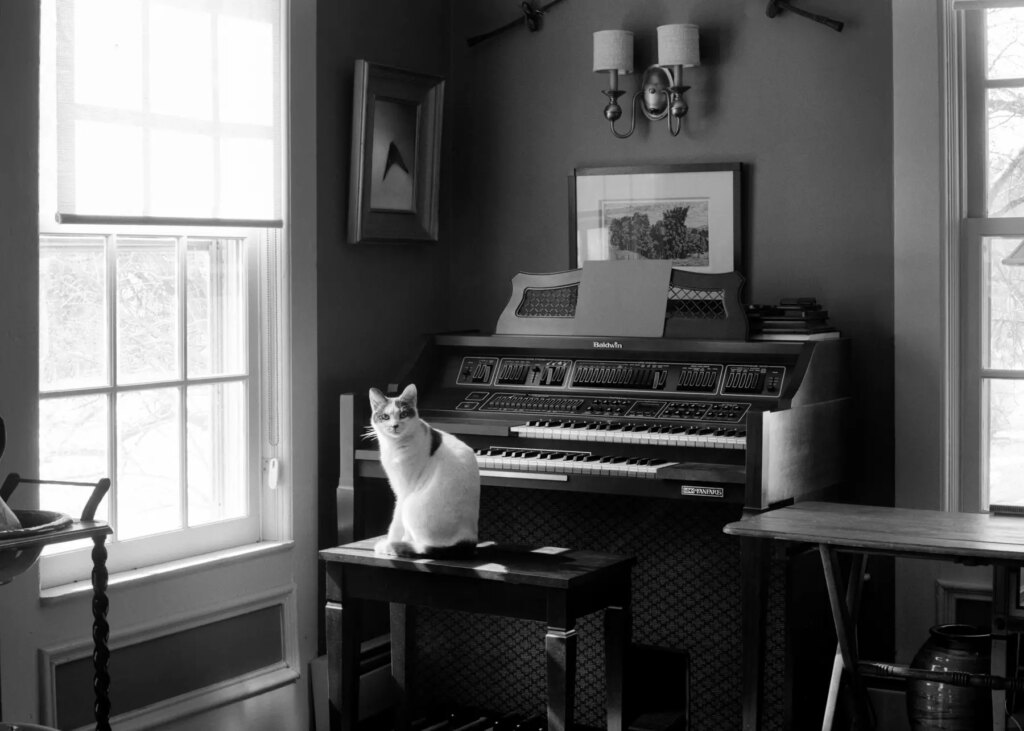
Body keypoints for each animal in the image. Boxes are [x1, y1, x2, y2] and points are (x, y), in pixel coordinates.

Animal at [368, 384, 479, 556]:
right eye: (385, 417)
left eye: (403, 414)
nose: (394, 426)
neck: (394, 446)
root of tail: (467, 541)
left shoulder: (404, 491)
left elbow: (396, 523)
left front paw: (391, 541)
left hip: (410, 504)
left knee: (423, 546)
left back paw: (395, 546)